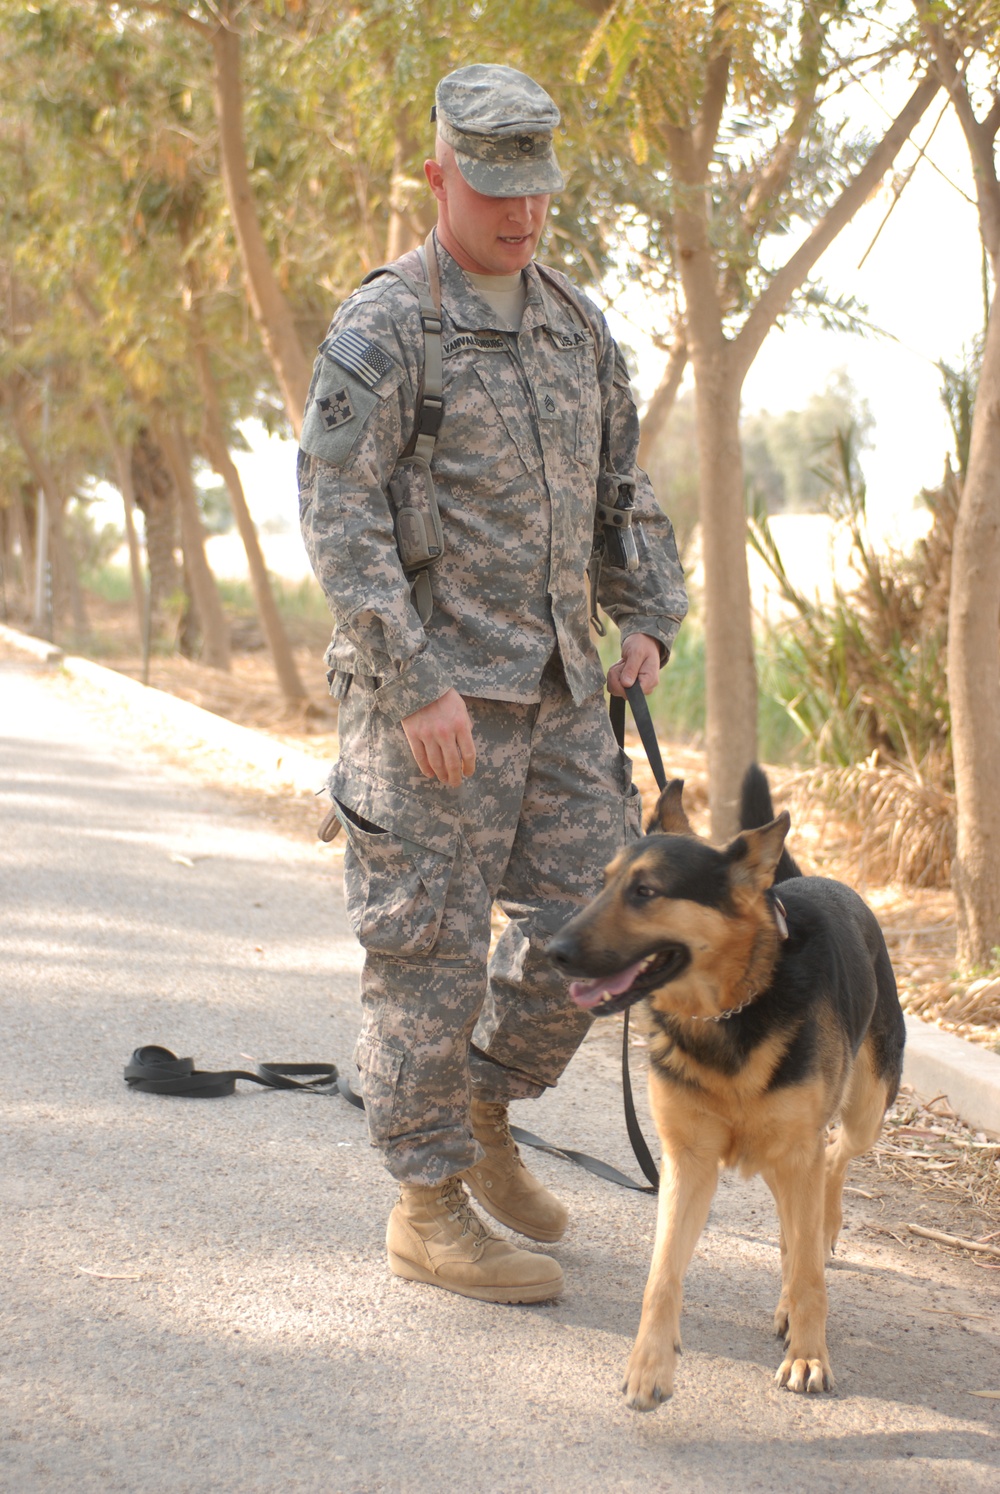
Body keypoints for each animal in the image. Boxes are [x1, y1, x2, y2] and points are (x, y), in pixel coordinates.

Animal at [547, 770, 902, 1410]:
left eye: (646, 892)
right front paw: (649, 1366)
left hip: (862, 1112)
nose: (552, 952)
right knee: (796, 1222)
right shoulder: (688, 1163)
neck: (728, 1013)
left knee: (833, 1163)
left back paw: (823, 1235)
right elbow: (663, 1276)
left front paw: (809, 1355)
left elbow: (810, 1273)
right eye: (603, 885)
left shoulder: (796, 1151)